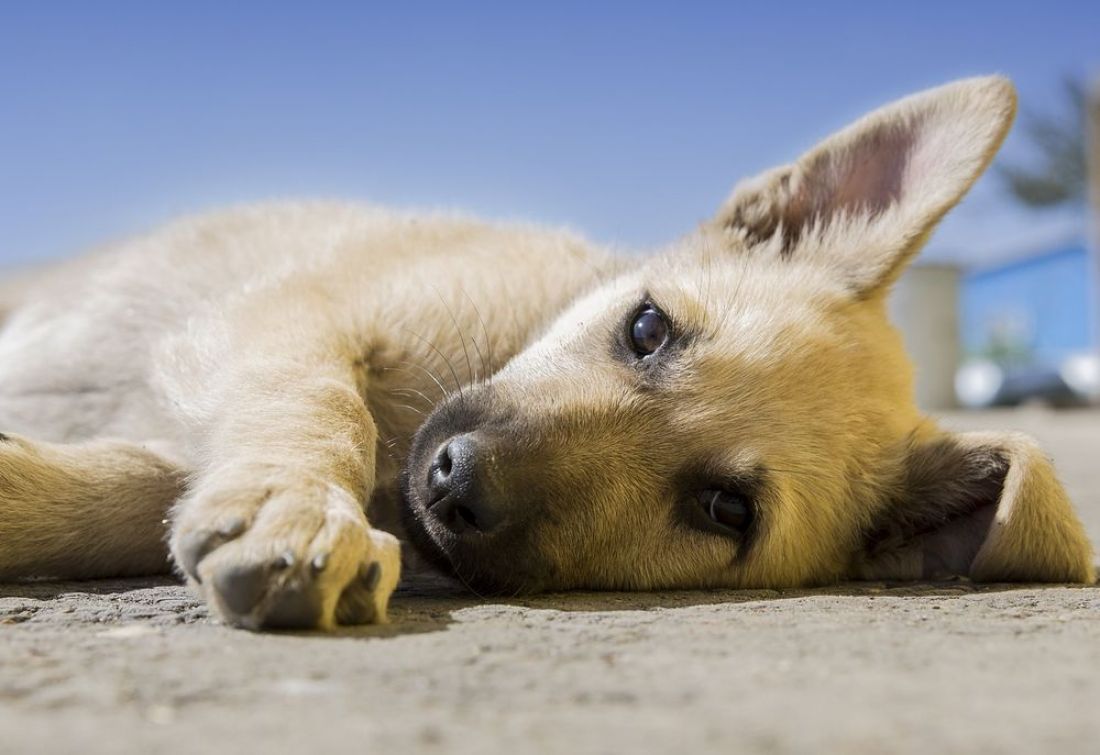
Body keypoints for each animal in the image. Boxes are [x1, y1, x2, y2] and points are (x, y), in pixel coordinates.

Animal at [0, 78, 1091, 633]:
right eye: (647, 329)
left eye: (724, 509)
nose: (452, 481)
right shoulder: (284, 313)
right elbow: (320, 405)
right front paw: (297, 504)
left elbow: (138, 488)